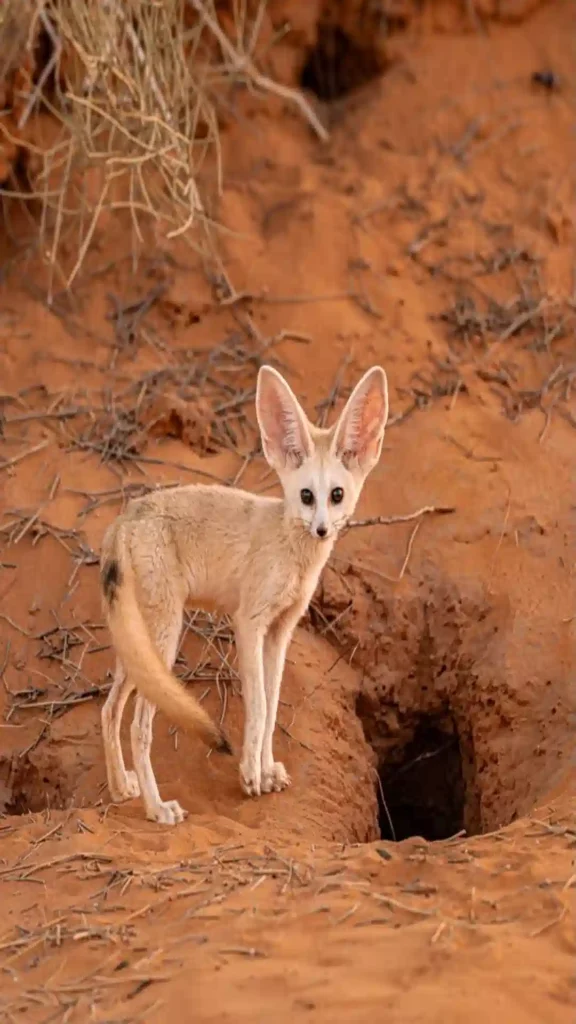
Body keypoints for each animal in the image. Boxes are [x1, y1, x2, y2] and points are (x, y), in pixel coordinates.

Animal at [99, 363, 389, 824]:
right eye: (306, 496)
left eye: (336, 495)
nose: (322, 529)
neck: (292, 553)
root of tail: (124, 517)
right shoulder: (249, 623)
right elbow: (257, 705)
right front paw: (251, 774)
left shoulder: (280, 632)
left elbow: (271, 706)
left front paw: (267, 771)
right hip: (165, 636)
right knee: (138, 726)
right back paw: (157, 808)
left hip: (140, 645)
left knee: (108, 710)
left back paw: (120, 788)